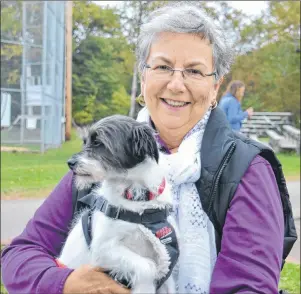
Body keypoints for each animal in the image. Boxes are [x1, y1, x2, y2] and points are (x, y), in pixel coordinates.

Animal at [56, 115, 178, 294]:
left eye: (98, 143)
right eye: (85, 141)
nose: (69, 162)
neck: (136, 199)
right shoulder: (102, 249)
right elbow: (147, 266)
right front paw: (144, 288)